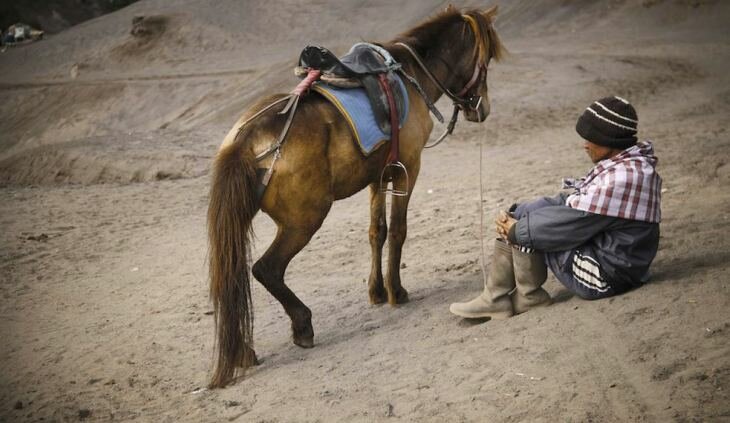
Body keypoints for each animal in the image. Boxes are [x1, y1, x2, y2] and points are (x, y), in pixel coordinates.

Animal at [205, 5, 500, 388]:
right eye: (487, 58)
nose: (482, 108)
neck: (410, 74)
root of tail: (247, 138)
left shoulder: (379, 174)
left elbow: (377, 232)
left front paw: (376, 291)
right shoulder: (408, 169)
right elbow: (399, 231)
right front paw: (396, 292)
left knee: (233, 277)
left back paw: (241, 351)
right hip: (305, 219)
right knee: (266, 269)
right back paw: (302, 324)